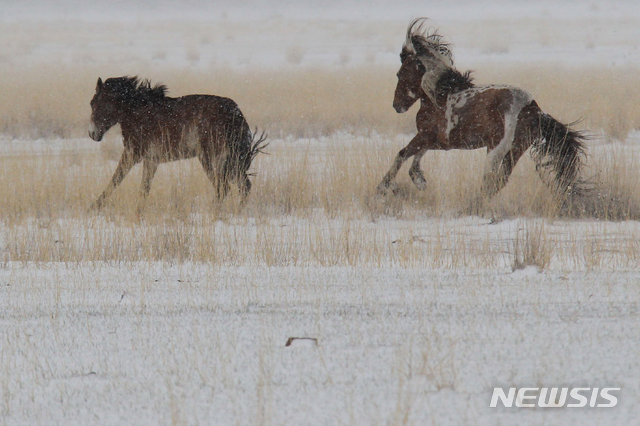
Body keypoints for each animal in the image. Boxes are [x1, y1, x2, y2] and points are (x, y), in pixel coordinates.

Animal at [87, 76, 264, 211]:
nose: (92, 134)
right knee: (243, 186)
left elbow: (116, 179)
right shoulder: (151, 160)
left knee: (223, 187)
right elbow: (144, 187)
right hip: (231, 160)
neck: (137, 112)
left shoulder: (132, 154)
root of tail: (235, 112)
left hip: (211, 158)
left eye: (96, 103)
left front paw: (95, 205)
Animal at [378, 19, 588, 206]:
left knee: (491, 180)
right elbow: (417, 155)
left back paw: (473, 204)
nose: (397, 105)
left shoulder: (426, 135)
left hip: (496, 150)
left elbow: (403, 153)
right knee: (499, 181)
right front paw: (419, 180)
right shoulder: (436, 140)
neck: (439, 96)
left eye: (399, 74)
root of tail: (534, 110)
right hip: (514, 150)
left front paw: (384, 186)